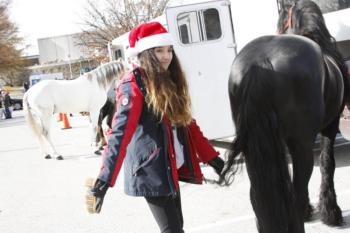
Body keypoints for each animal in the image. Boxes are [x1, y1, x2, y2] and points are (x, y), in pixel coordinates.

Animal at [221, 0, 350, 232]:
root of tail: (260, 63)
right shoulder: (330, 126)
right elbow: (328, 164)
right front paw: (331, 212)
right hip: (302, 145)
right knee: (297, 193)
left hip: (254, 147)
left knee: (260, 198)